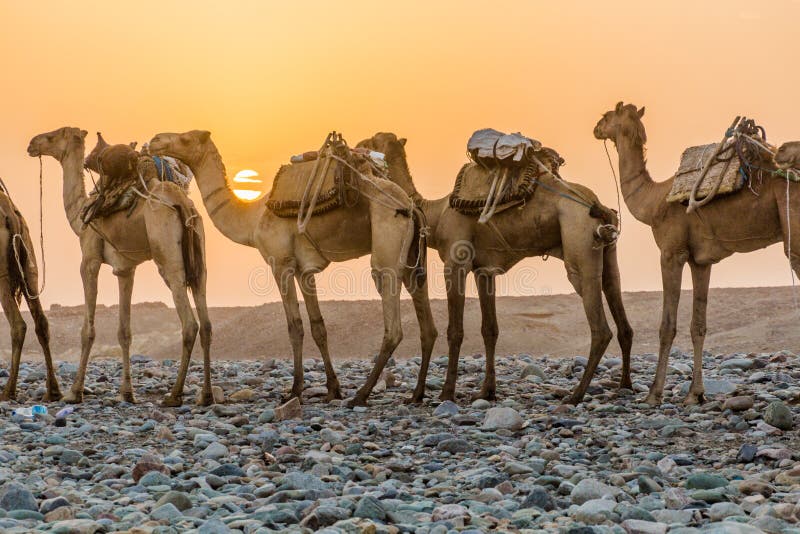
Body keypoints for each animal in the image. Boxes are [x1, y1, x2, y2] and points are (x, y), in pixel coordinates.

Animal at [0, 189, 61, 402]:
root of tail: (11, 214)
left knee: (18, 324)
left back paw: (7, 391)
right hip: (29, 263)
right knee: (41, 321)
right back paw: (53, 391)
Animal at [28, 129, 212, 406]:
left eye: (53, 136)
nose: (32, 144)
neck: (80, 213)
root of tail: (183, 203)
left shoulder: (89, 260)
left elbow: (87, 330)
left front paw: (74, 392)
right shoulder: (125, 269)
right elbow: (124, 331)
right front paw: (127, 392)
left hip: (167, 254)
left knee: (189, 323)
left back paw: (174, 395)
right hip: (199, 258)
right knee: (207, 322)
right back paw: (206, 395)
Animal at [150, 131, 438, 406]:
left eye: (186, 138)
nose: (154, 141)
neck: (252, 218)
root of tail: (410, 207)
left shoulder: (281, 264)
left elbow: (295, 326)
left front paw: (295, 390)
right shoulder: (304, 271)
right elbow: (318, 327)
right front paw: (332, 389)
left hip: (387, 245)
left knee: (393, 324)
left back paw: (362, 394)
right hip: (412, 256)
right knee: (426, 321)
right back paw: (417, 394)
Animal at [360, 132, 636, 404]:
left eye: (371, 142)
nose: (358, 148)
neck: (436, 214)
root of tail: (600, 206)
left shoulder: (456, 262)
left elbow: (455, 330)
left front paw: (447, 393)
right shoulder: (484, 270)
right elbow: (489, 329)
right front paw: (487, 391)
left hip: (579, 244)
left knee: (600, 328)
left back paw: (575, 395)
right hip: (608, 253)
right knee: (619, 308)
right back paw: (624, 385)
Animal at [592, 102, 788, 406]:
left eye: (607, 116)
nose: (595, 128)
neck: (654, 201)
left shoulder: (671, 253)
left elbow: (667, 326)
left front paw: (654, 393)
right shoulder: (701, 261)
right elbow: (699, 326)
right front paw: (695, 394)